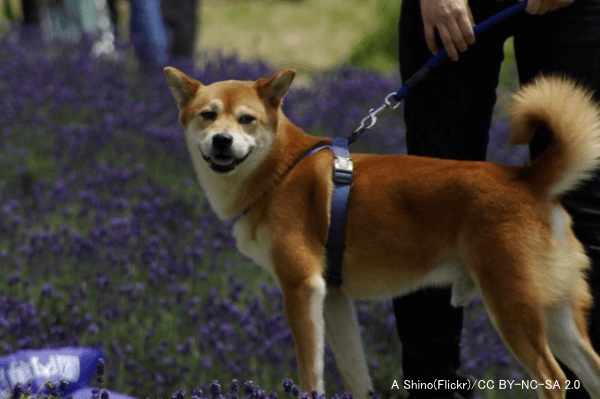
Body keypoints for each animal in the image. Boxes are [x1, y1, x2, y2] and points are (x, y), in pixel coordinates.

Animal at [164, 66, 600, 399]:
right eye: (207, 115)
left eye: (246, 119)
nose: (222, 140)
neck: (278, 171)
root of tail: (526, 179)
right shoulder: (333, 297)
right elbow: (355, 375)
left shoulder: (301, 287)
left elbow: (310, 374)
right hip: (555, 312)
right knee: (592, 371)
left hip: (514, 306)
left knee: (554, 379)